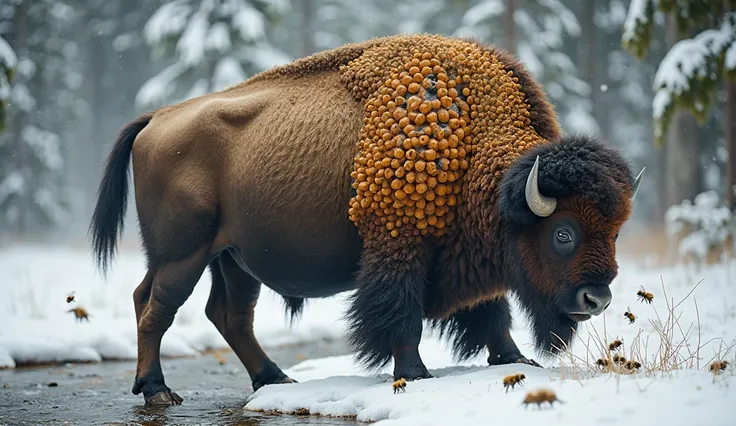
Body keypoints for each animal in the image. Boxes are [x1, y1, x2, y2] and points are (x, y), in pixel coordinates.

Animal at [90, 34, 644, 406]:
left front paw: (514, 360)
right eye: (563, 233)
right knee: (155, 308)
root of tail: (159, 119)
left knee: (226, 314)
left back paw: (275, 379)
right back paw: (158, 391)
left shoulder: (468, 257)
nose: (597, 300)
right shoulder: (399, 247)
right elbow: (402, 313)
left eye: (616, 231)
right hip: (182, 254)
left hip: (232, 259)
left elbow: (492, 313)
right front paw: (415, 374)